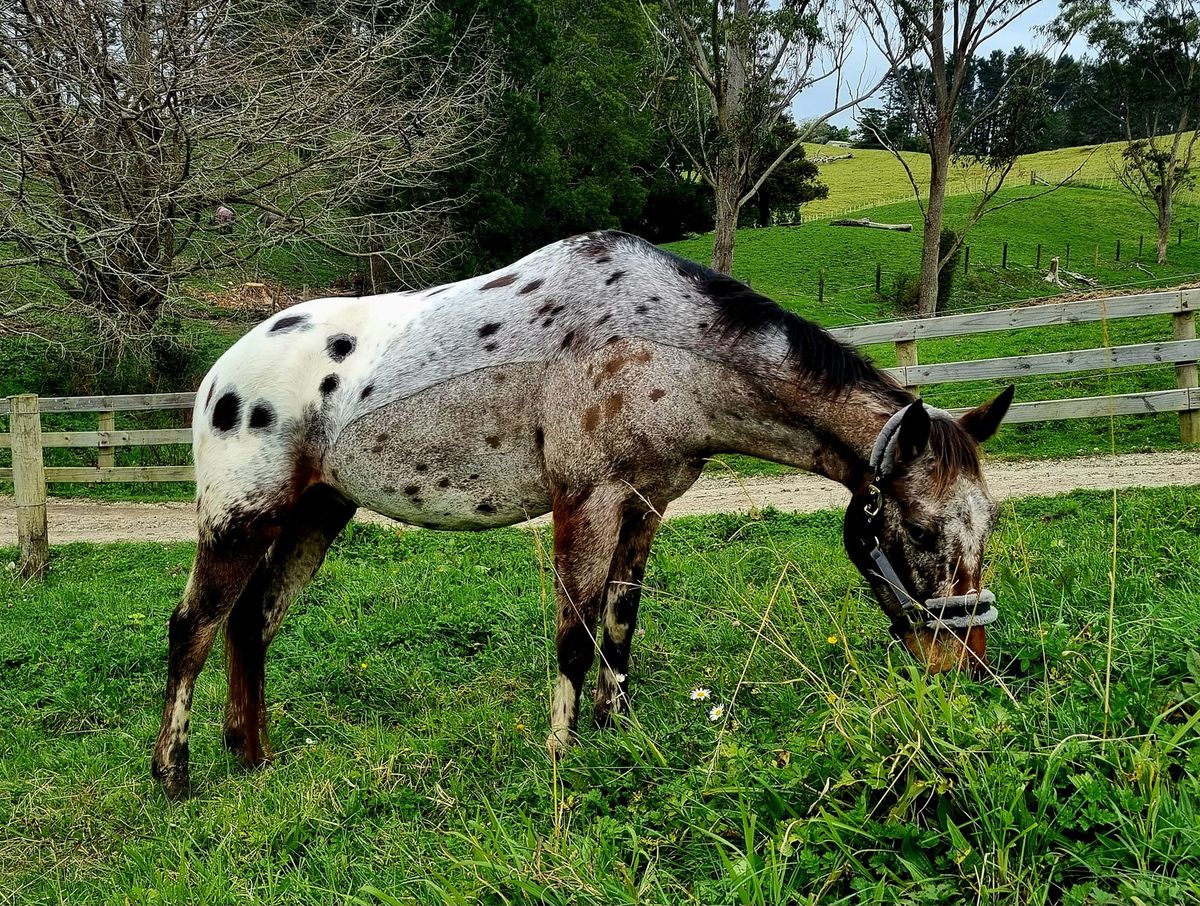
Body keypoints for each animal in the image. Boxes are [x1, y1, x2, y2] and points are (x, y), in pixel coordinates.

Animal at [150, 230, 1012, 796]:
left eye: (989, 525)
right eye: (922, 530)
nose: (964, 667)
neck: (660, 340)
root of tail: (219, 373)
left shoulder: (646, 507)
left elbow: (620, 625)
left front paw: (617, 728)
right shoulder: (586, 502)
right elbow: (574, 634)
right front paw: (563, 755)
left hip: (313, 516)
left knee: (251, 623)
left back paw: (253, 756)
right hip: (241, 518)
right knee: (193, 628)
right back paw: (174, 774)